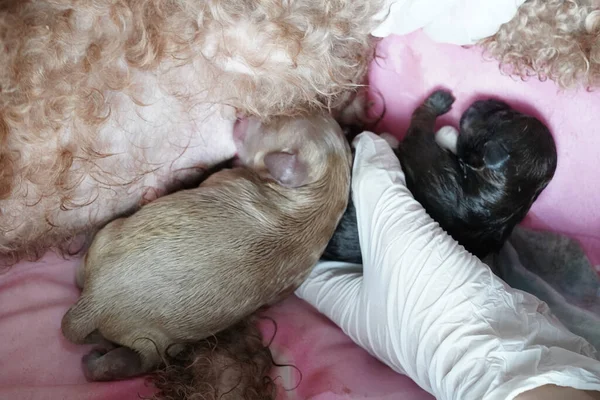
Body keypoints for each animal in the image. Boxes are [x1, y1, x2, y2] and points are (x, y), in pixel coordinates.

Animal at [61, 113, 352, 382]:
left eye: (267, 124)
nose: (242, 116)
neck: (324, 190)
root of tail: (96, 303)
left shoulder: (227, 177)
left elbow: (216, 175)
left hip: (120, 260)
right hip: (143, 326)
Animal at [324, 90, 556, 264]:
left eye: (501, 117)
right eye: (510, 113)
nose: (484, 100)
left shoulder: (422, 152)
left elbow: (420, 124)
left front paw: (439, 100)